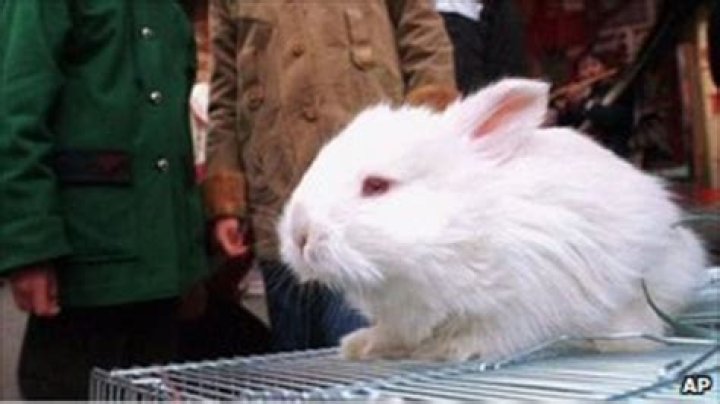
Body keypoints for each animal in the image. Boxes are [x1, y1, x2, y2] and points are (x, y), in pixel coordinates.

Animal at [277, 78, 707, 362]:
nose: (299, 235)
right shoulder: (403, 316)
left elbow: (489, 336)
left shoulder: (522, 305)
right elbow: (393, 334)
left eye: (376, 186)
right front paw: (358, 346)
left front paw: (446, 351)